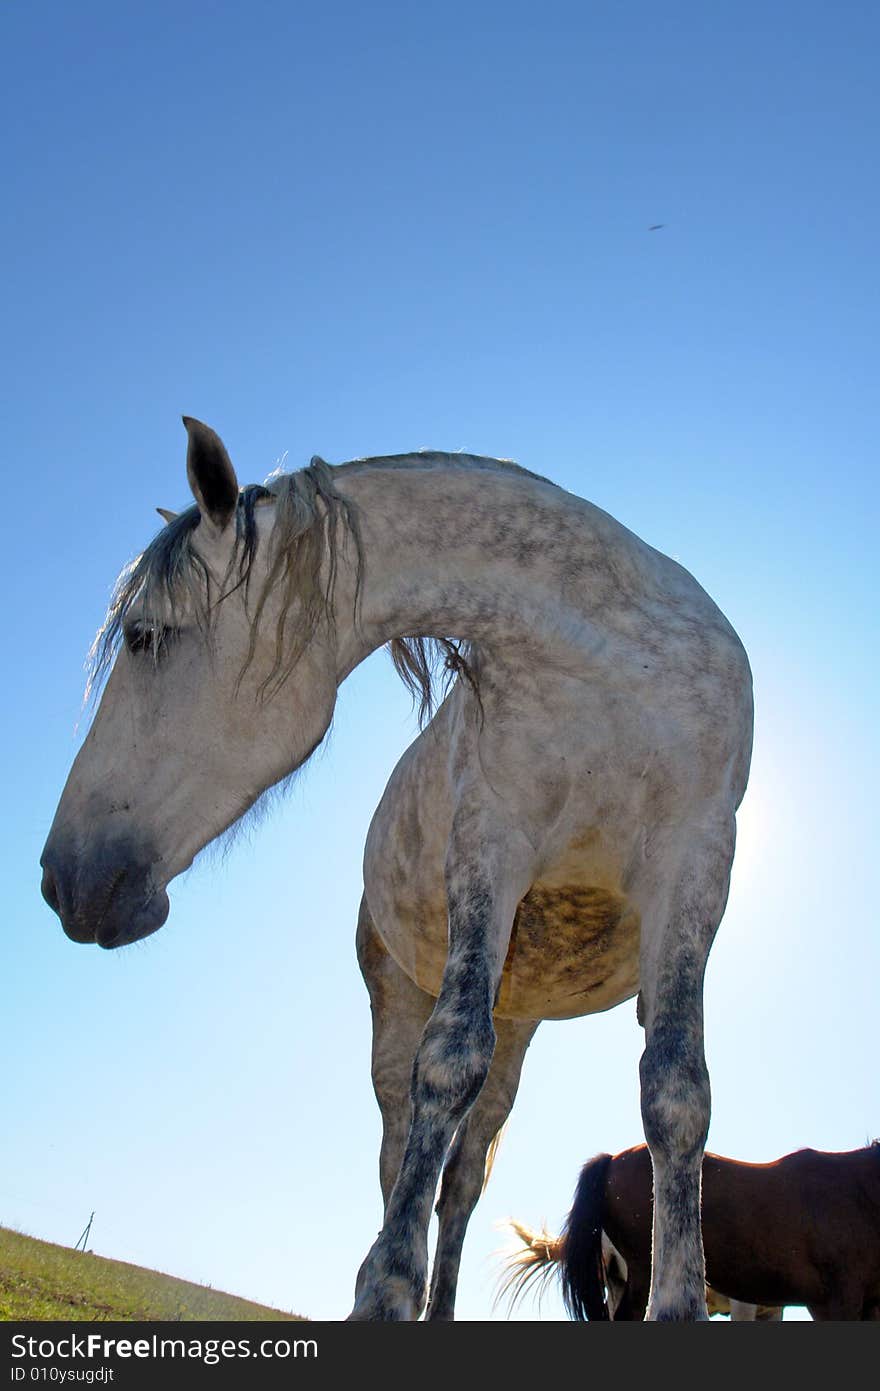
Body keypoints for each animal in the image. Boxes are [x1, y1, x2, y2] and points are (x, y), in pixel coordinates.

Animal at [41, 417, 750, 1318]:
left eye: (145, 635)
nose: (63, 879)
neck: (611, 669)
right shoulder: (490, 845)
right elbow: (446, 1063)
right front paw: (383, 1288)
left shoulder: (695, 866)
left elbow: (677, 1091)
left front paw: (680, 1300)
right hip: (397, 1001)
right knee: (402, 1141)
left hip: (522, 1024)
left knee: (464, 1177)